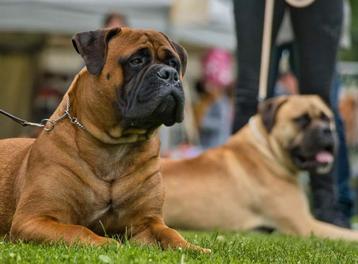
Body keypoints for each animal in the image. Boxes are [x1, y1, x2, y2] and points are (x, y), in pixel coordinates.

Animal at [0, 27, 210, 253]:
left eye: (174, 63)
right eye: (136, 61)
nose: (169, 74)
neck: (116, 146)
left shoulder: (147, 223)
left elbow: (170, 233)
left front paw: (193, 248)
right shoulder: (33, 219)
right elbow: (78, 230)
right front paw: (109, 243)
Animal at [164, 95, 358, 241]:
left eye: (327, 118)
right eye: (302, 119)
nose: (328, 130)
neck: (266, 150)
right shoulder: (305, 225)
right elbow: (349, 234)